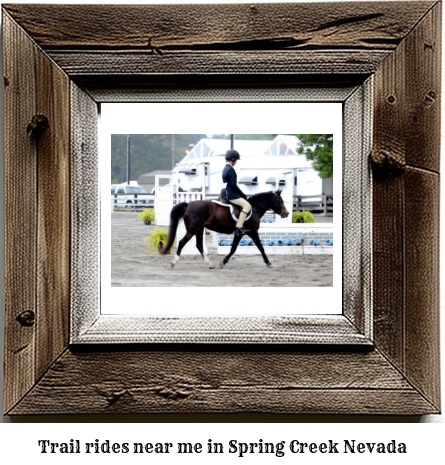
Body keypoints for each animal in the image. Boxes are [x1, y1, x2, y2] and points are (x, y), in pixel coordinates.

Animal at [159, 188, 288, 268]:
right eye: (280, 201)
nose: (286, 213)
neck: (254, 208)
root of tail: (188, 204)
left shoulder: (239, 233)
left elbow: (233, 249)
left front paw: (223, 262)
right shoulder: (253, 232)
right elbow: (261, 247)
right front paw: (268, 263)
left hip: (199, 229)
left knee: (199, 245)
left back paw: (210, 264)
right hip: (192, 230)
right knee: (182, 242)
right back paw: (174, 262)